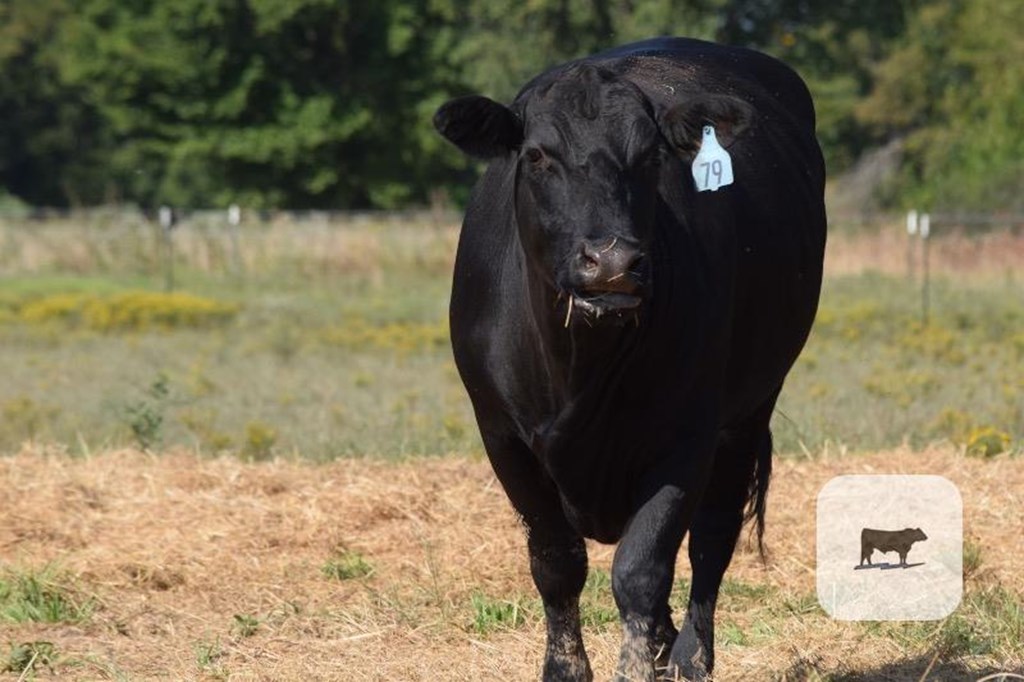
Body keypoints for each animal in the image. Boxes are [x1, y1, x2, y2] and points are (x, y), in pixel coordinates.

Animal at [432, 37, 823, 679]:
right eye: (538, 156)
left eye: (649, 157)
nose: (612, 262)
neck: (578, 366)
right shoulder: (501, 435)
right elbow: (556, 562)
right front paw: (565, 668)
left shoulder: (687, 436)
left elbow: (641, 571)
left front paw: (647, 662)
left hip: (750, 409)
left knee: (711, 540)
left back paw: (689, 656)